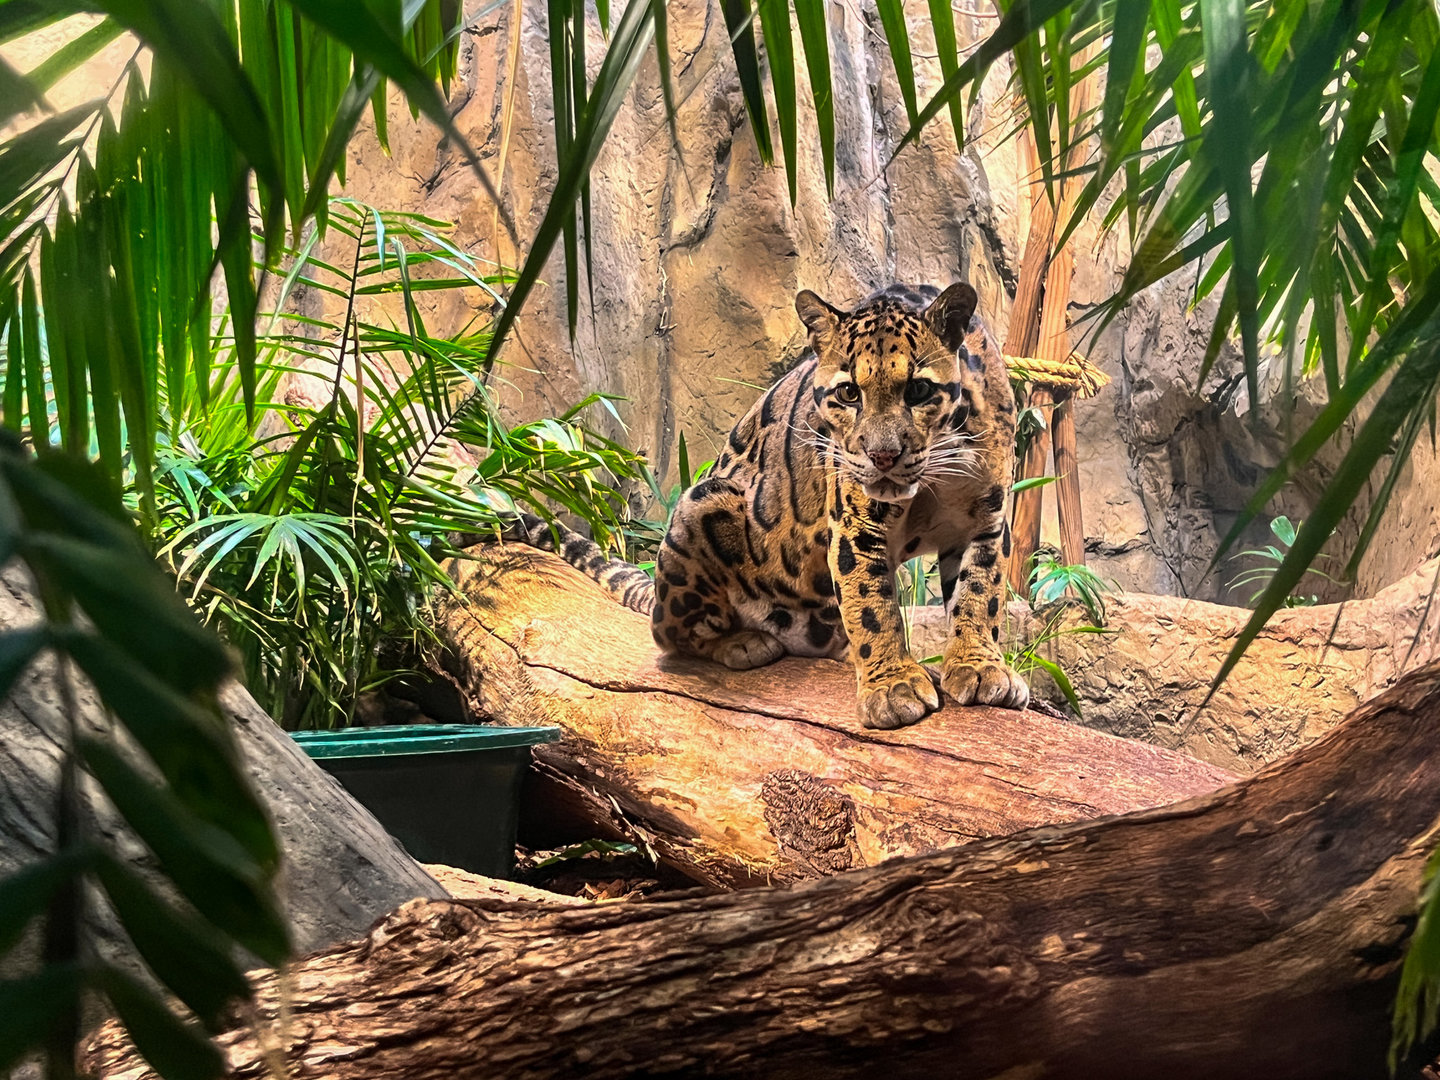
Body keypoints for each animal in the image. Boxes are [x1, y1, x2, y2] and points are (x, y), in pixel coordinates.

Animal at [503, 280, 1029, 729]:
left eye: (918, 389)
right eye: (848, 393)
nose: (882, 456)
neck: (937, 471)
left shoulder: (985, 520)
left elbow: (979, 594)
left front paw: (980, 666)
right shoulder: (857, 525)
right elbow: (872, 605)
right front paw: (893, 684)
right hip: (701, 504)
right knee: (669, 635)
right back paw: (743, 643)